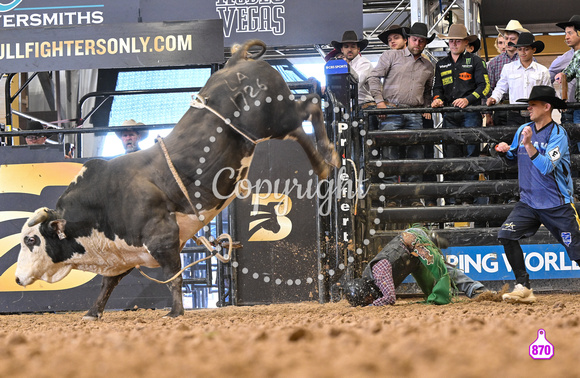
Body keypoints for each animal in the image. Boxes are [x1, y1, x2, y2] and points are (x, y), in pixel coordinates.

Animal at [14, 40, 340, 318]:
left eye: (31, 240)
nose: (16, 278)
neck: (102, 203)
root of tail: (236, 61)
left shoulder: (163, 237)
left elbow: (173, 276)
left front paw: (175, 312)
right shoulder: (125, 253)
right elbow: (108, 284)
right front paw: (92, 313)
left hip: (273, 117)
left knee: (309, 108)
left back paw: (327, 159)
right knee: (304, 119)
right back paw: (327, 160)